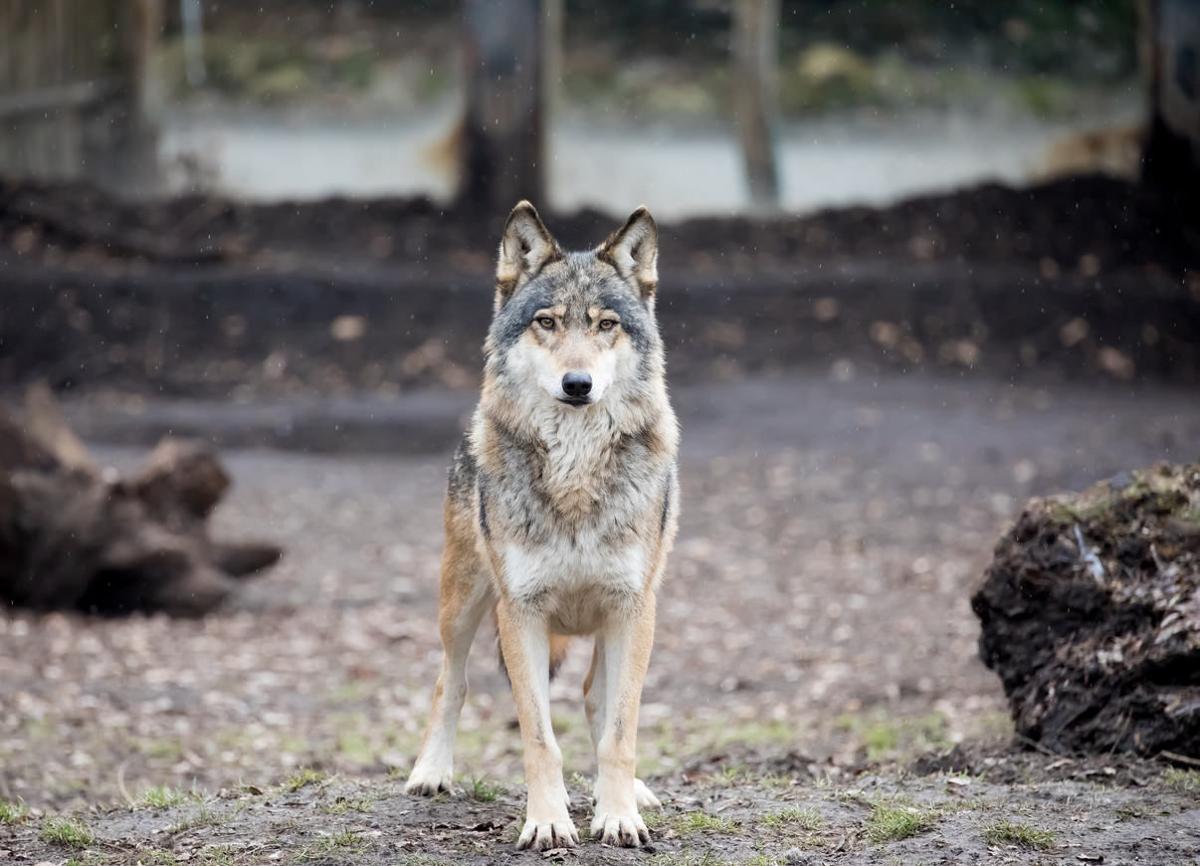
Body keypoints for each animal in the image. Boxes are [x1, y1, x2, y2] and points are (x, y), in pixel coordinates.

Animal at [405, 201, 679, 850]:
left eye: (606, 325)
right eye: (547, 322)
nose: (577, 384)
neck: (575, 472)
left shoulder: (632, 607)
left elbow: (620, 730)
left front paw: (619, 815)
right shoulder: (520, 610)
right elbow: (538, 737)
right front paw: (548, 821)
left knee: (594, 699)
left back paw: (634, 794)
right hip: (462, 604)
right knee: (450, 682)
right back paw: (431, 772)